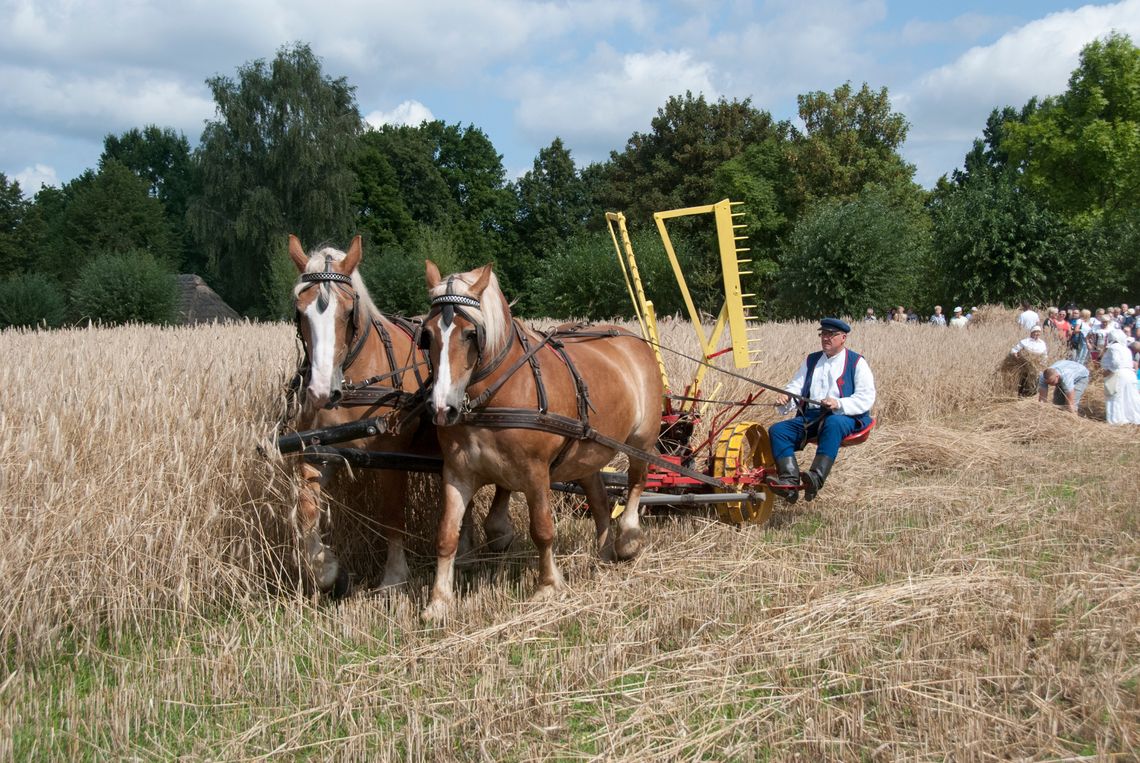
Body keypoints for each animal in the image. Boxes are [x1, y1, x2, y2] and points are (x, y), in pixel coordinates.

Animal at [285, 236, 513, 593]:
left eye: (349, 311)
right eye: (299, 311)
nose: (321, 391)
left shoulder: (391, 456)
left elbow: (392, 514)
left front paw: (394, 577)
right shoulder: (319, 451)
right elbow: (307, 510)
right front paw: (327, 571)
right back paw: (465, 553)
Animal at [419, 260, 661, 620]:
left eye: (470, 334)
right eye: (427, 334)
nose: (441, 408)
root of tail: (634, 340)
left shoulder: (535, 472)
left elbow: (542, 529)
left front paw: (548, 586)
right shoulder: (457, 472)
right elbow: (447, 534)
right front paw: (438, 601)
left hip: (641, 441)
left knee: (636, 481)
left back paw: (628, 538)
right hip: (587, 451)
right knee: (599, 498)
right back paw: (603, 553)